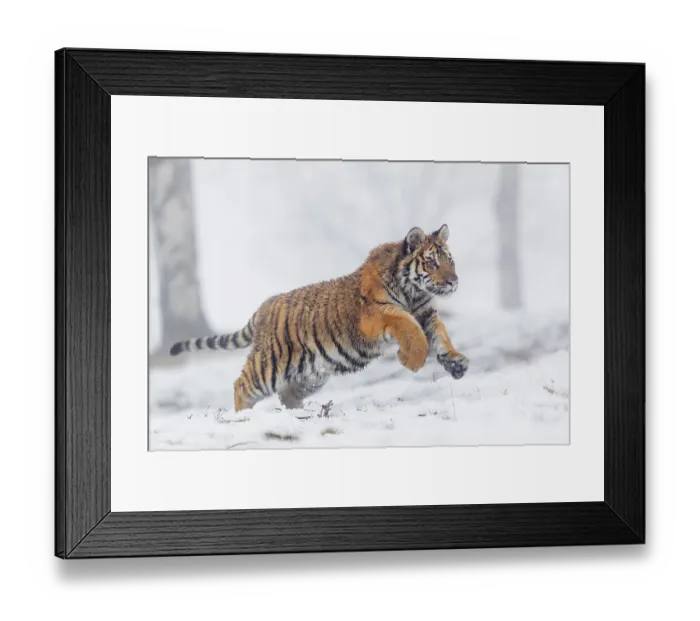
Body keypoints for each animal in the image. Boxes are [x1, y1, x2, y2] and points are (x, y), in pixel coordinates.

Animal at [169, 224, 469, 412]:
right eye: (432, 262)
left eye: (450, 260)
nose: (454, 281)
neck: (414, 293)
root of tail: (265, 306)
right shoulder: (377, 314)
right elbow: (409, 328)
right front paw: (412, 360)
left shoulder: (427, 314)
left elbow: (440, 336)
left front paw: (456, 363)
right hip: (269, 365)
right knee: (241, 385)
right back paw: (243, 417)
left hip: (309, 373)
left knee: (286, 393)